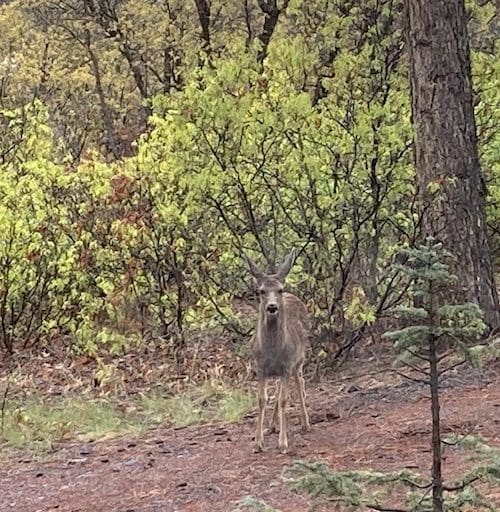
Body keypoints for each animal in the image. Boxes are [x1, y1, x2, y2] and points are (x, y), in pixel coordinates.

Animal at [244, 250, 310, 454]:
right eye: (261, 291)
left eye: (280, 289)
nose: (272, 307)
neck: (272, 350)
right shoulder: (260, 367)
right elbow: (261, 399)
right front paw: (258, 442)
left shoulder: (287, 365)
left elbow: (283, 400)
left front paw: (283, 443)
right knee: (281, 387)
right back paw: (272, 426)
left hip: (299, 359)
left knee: (300, 382)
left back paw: (306, 423)